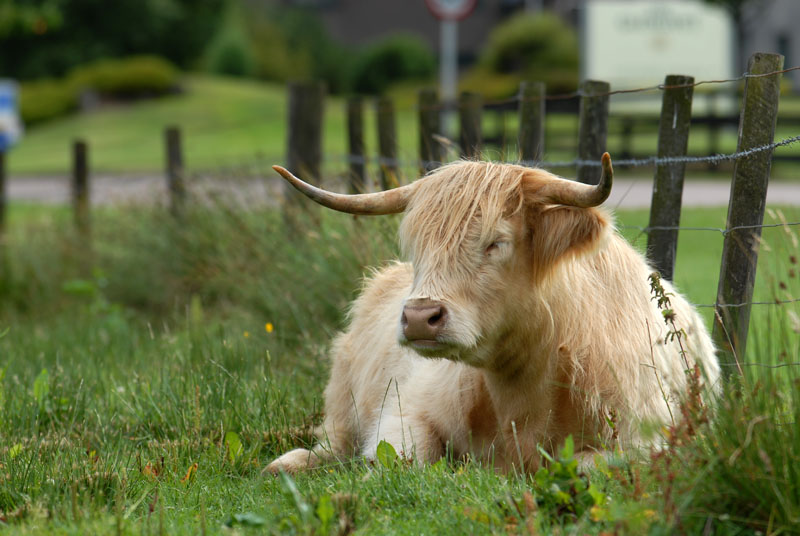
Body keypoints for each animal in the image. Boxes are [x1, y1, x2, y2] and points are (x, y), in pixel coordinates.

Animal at [266, 154, 720, 474]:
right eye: (418, 247)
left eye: (496, 243)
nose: (419, 317)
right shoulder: (405, 411)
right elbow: (404, 457)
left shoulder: (649, 440)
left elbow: (589, 465)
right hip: (342, 399)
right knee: (331, 443)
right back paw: (287, 463)